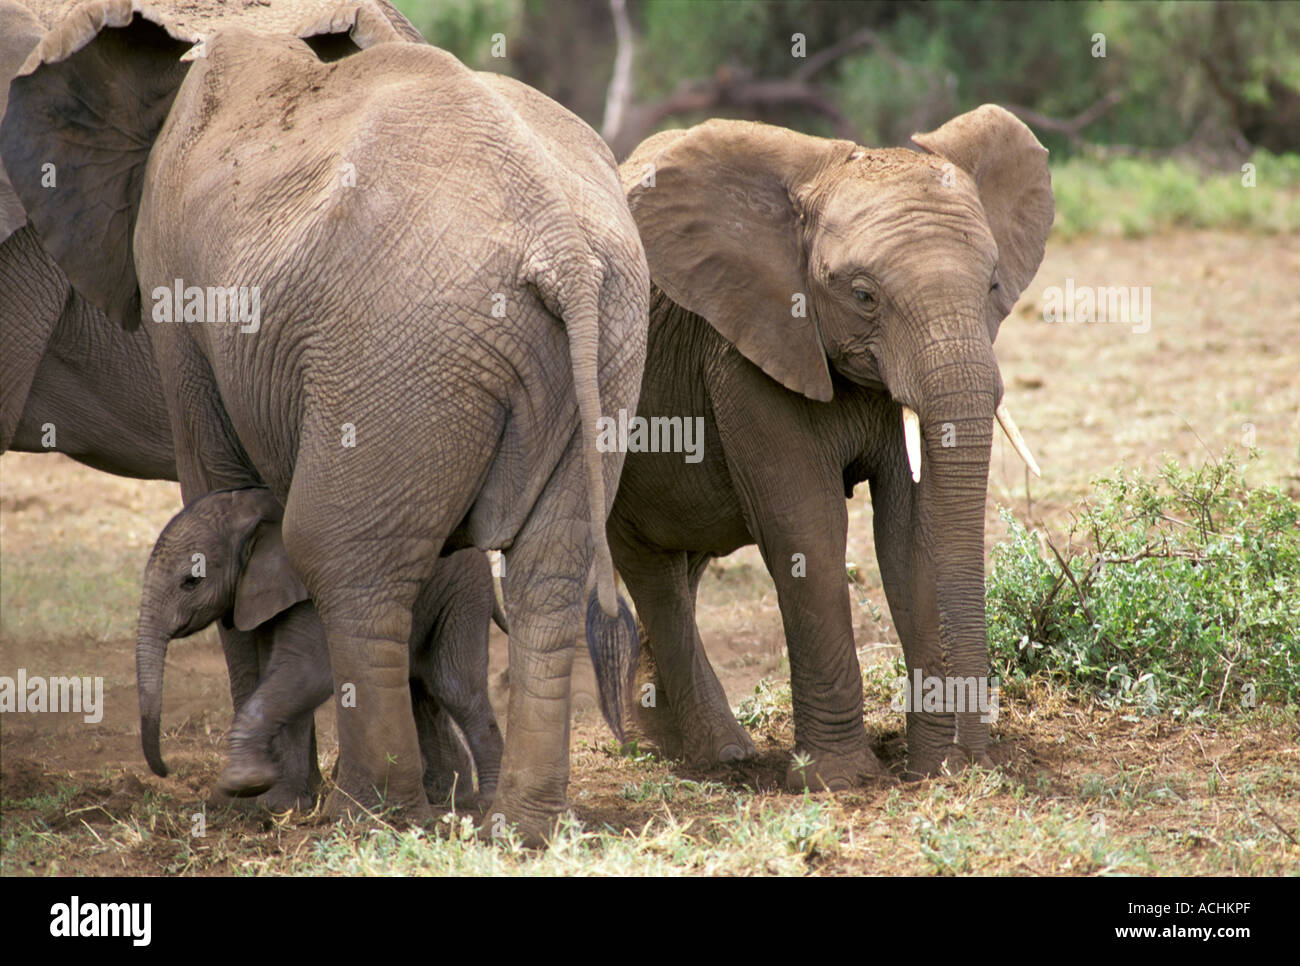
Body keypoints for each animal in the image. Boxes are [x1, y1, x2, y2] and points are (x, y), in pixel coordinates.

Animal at [131, 486, 496, 811]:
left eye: (191, 581)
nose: (166, 770)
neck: (256, 509)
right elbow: (281, 679)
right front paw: (280, 804)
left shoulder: (313, 592)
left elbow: (305, 673)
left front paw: (245, 784)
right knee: (419, 687)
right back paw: (444, 796)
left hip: (464, 596)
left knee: (454, 687)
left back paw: (485, 802)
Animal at [611, 113, 1055, 790]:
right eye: (864, 296)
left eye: (993, 284)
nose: (980, 762)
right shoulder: (747, 349)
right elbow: (808, 531)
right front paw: (840, 780)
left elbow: (909, 536)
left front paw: (929, 767)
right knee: (650, 567)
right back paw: (718, 757)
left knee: (681, 562)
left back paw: (674, 745)